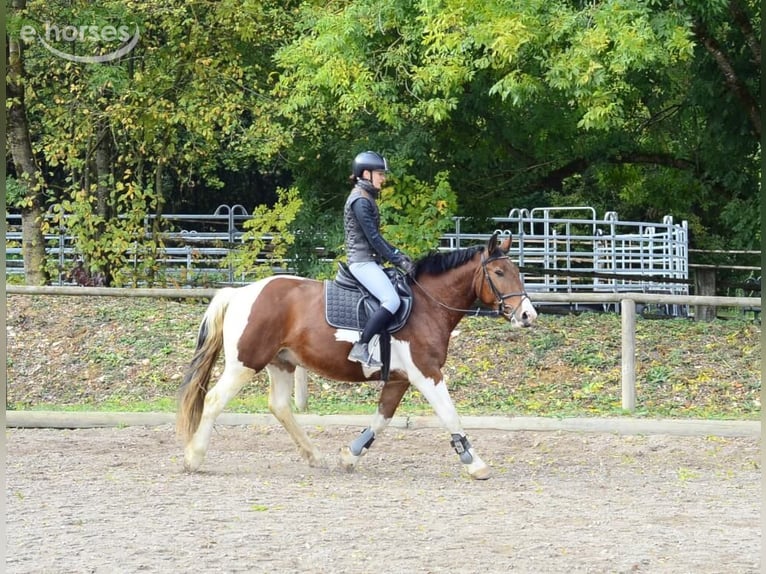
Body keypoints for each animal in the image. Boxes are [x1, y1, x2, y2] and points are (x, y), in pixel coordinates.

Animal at [176, 231, 537, 480]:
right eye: (500, 273)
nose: (527, 316)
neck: (426, 305)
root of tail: (239, 293)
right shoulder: (427, 373)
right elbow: (450, 415)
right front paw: (475, 463)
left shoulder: (400, 379)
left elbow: (382, 418)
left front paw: (349, 456)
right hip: (245, 363)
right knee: (214, 400)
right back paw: (194, 457)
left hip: (281, 363)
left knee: (279, 406)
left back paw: (314, 456)